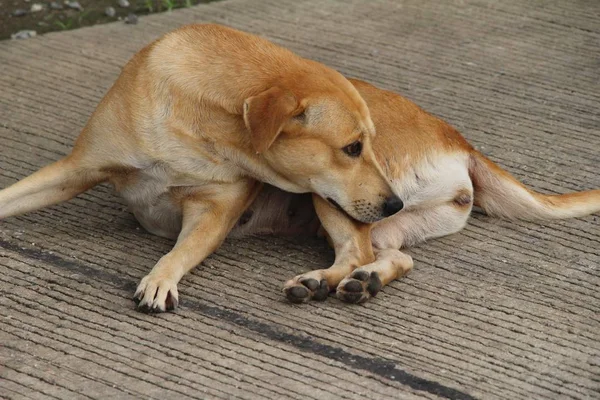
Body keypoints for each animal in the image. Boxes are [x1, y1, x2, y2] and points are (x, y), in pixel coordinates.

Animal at [1, 24, 404, 312]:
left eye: (366, 144)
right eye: (352, 148)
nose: (395, 204)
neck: (203, 121)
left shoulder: (210, 214)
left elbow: (179, 252)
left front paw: (160, 278)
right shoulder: (75, 170)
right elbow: (10, 197)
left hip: (326, 198)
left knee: (358, 254)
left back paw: (325, 281)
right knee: (389, 256)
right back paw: (356, 281)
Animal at [227, 78, 596, 304]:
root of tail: (460, 142)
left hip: (336, 188)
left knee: (356, 253)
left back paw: (318, 282)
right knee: (398, 257)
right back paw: (366, 281)